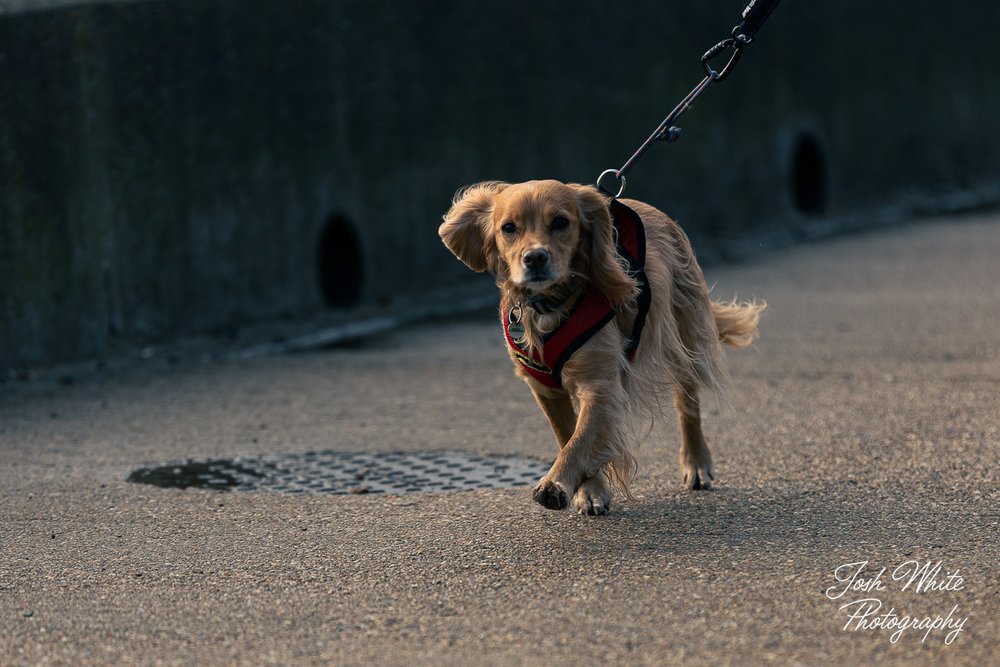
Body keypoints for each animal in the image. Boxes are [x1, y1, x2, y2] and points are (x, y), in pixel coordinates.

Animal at [442, 180, 760, 516]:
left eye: (561, 222)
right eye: (508, 228)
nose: (535, 257)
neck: (550, 305)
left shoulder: (600, 385)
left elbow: (581, 440)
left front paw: (556, 484)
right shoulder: (546, 390)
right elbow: (568, 435)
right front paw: (590, 491)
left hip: (683, 336)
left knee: (688, 403)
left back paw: (696, 463)